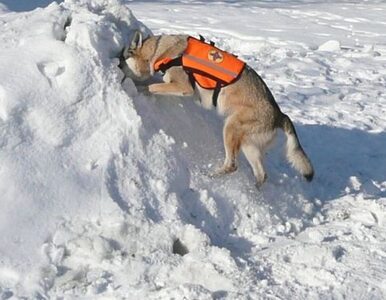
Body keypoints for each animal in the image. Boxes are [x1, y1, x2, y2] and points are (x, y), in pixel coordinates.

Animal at [122, 33, 316, 188]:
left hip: (230, 128)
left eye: (122, 57)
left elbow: (151, 86)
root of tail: (280, 115)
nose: (117, 64)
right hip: (248, 145)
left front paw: (135, 88)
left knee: (232, 165)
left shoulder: (184, 87)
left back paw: (209, 176)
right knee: (261, 175)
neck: (160, 50)